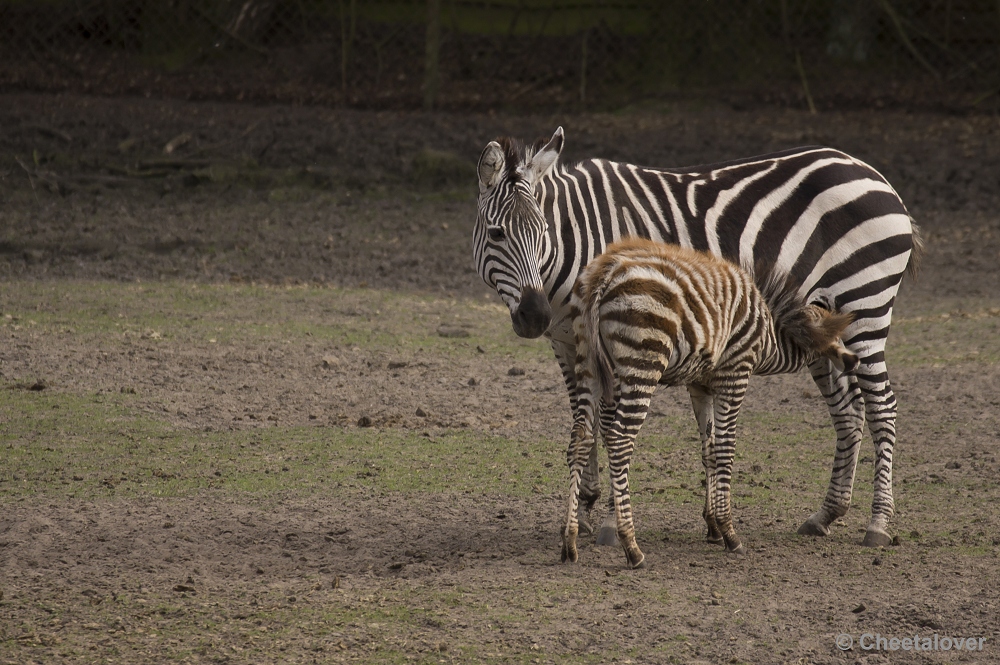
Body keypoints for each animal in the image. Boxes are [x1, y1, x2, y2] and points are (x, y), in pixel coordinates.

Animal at [564, 236, 860, 568]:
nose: (854, 362)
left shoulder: (700, 384)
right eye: (839, 339)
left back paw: (570, 542)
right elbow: (725, 448)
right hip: (642, 361)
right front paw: (730, 532)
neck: (770, 332)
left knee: (580, 439)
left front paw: (713, 526)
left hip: (585, 360)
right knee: (619, 439)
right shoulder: (735, 372)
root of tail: (605, 272)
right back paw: (631, 546)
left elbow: (708, 449)